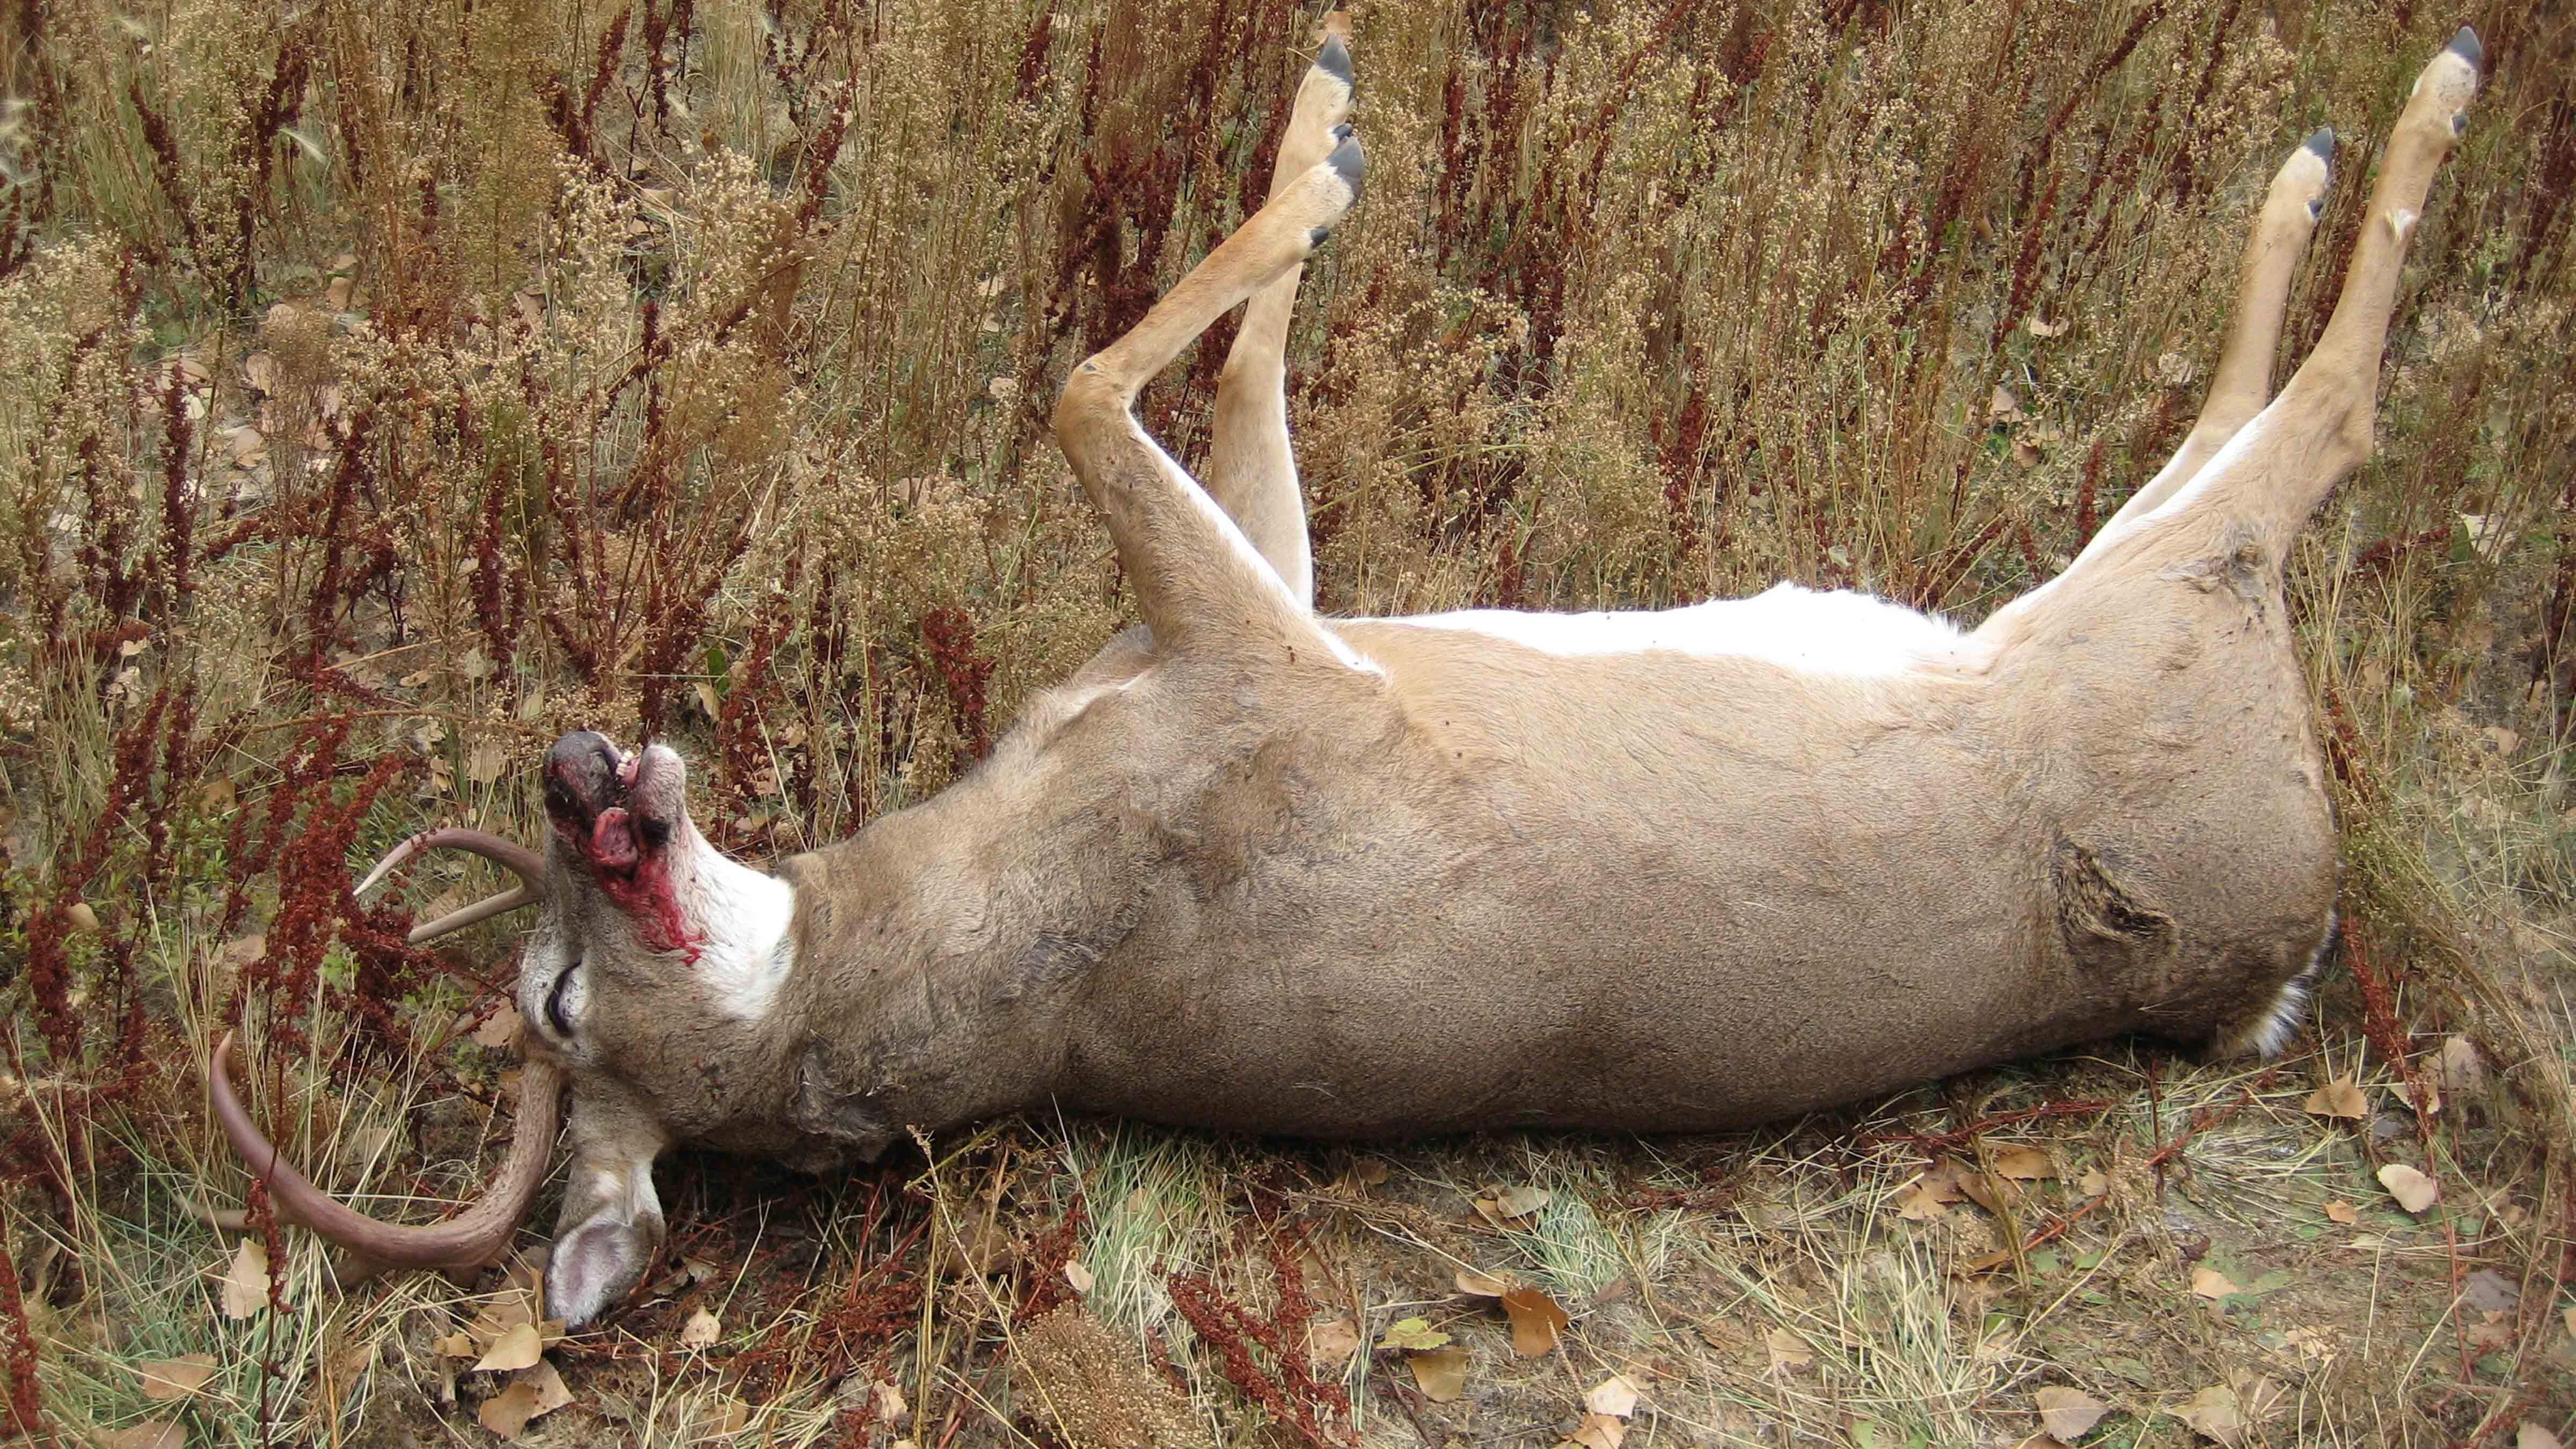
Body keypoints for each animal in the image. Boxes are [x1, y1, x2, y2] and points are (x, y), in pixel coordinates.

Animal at [212, 27, 2487, 1327]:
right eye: (556, 1005)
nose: (573, 755)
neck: (990, 904)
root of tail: (2286, 945)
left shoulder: (1230, 619)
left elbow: (1221, 391)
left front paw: (1320, 108)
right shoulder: (1259, 673)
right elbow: (1083, 375)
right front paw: (1325, 159)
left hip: (2118, 592)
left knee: (2246, 408)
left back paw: (2318, 142)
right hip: (2163, 623)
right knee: (2334, 415)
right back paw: (2413, 104)